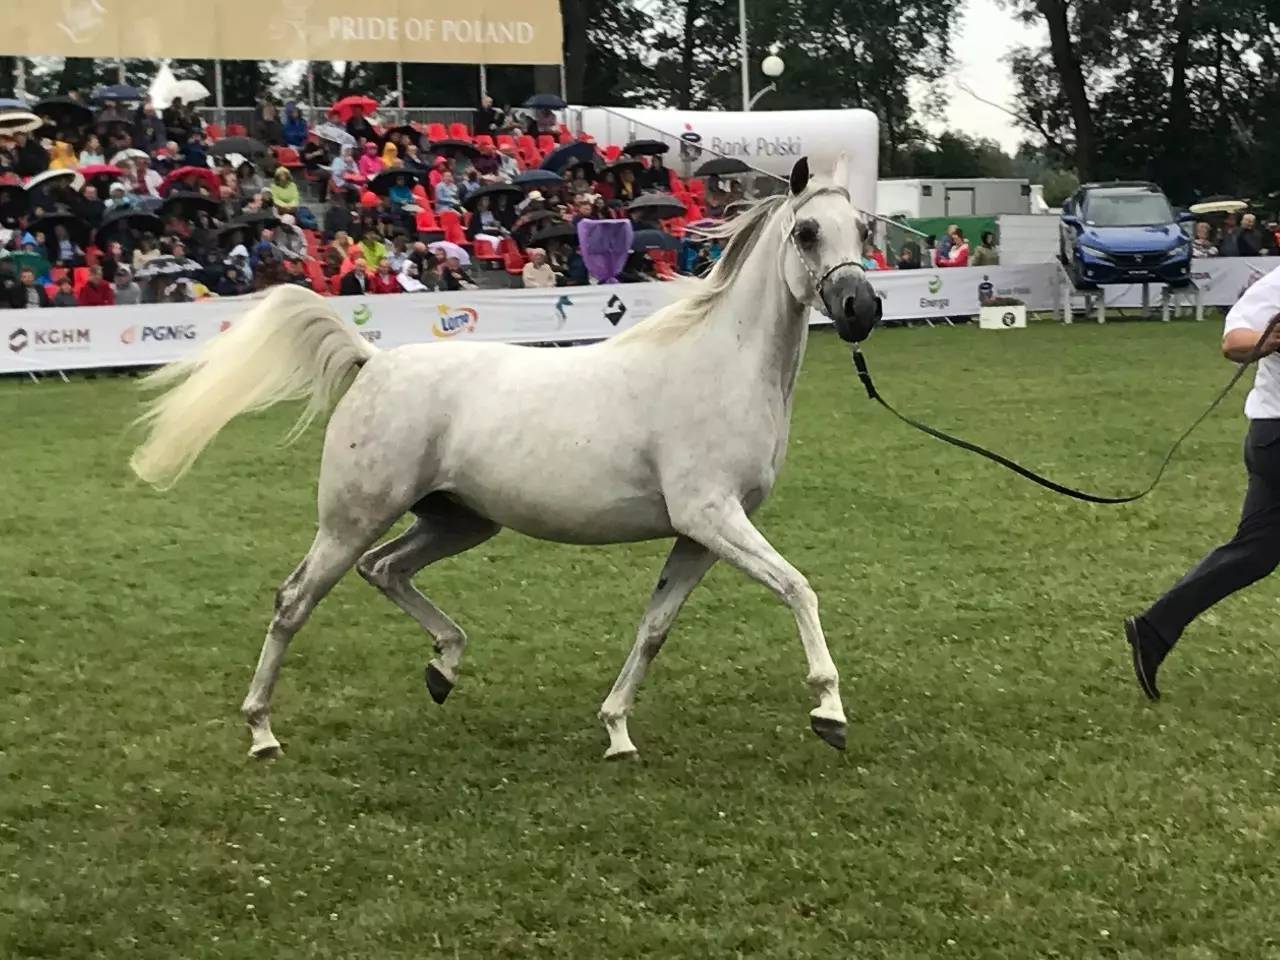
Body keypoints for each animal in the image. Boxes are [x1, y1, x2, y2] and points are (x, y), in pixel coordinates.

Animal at [135, 156, 885, 757]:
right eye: (807, 232)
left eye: (865, 231)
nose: (862, 307)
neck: (719, 366)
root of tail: (372, 361)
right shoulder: (712, 516)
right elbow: (797, 587)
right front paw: (829, 710)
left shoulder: (700, 535)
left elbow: (653, 628)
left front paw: (616, 731)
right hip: (353, 519)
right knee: (294, 600)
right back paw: (262, 731)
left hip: (458, 519)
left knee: (385, 570)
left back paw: (443, 668)